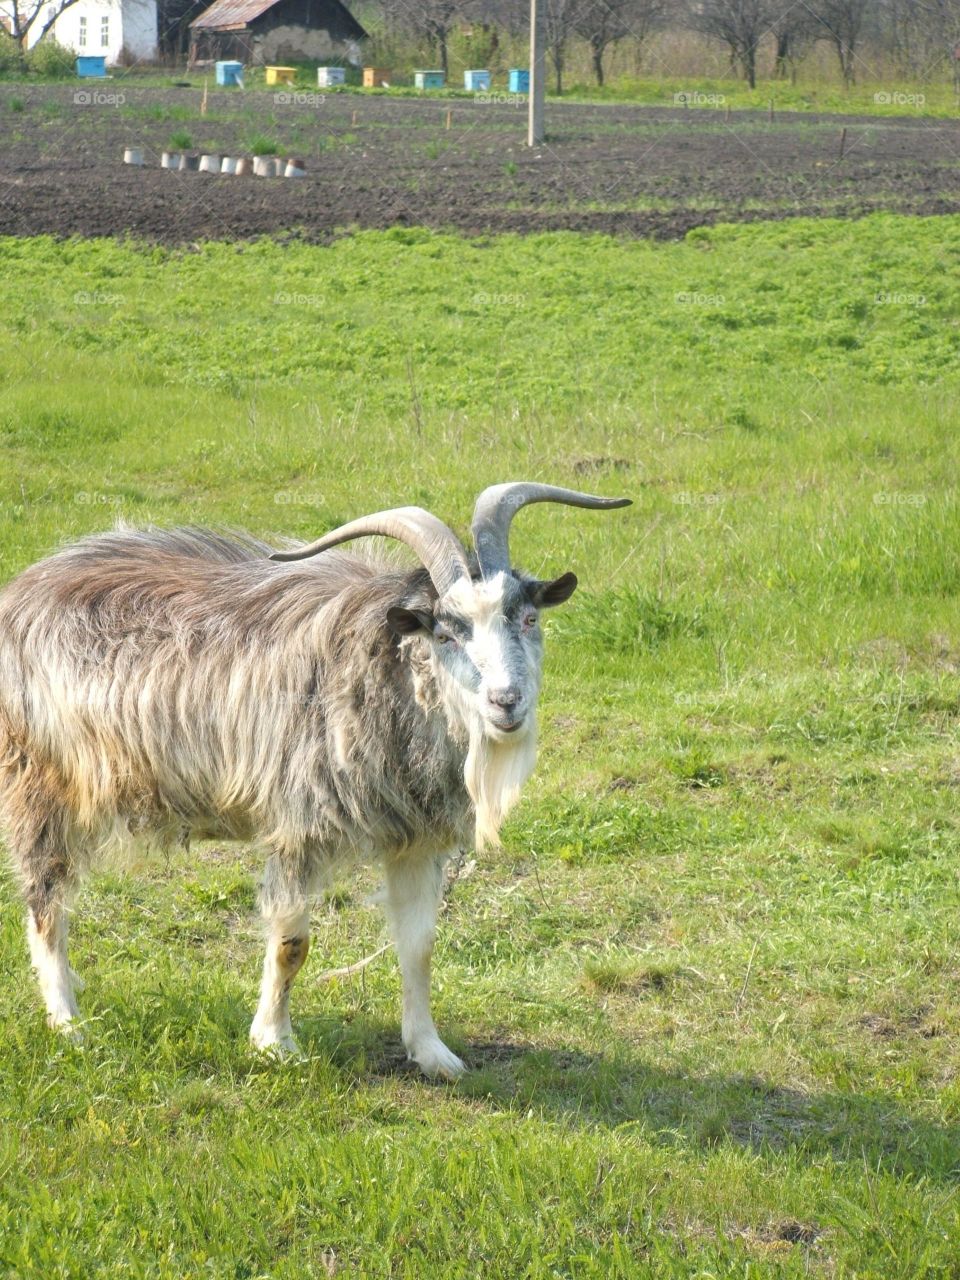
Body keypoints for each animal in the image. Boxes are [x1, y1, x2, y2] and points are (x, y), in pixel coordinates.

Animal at [0, 483, 629, 1076]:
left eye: (528, 618)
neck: (382, 670)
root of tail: (22, 589)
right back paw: (68, 1023)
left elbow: (419, 945)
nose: (506, 702)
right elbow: (291, 943)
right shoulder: (297, 825)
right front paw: (275, 1043)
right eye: (446, 634)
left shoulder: (416, 838)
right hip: (38, 783)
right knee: (45, 899)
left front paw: (432, 1053)